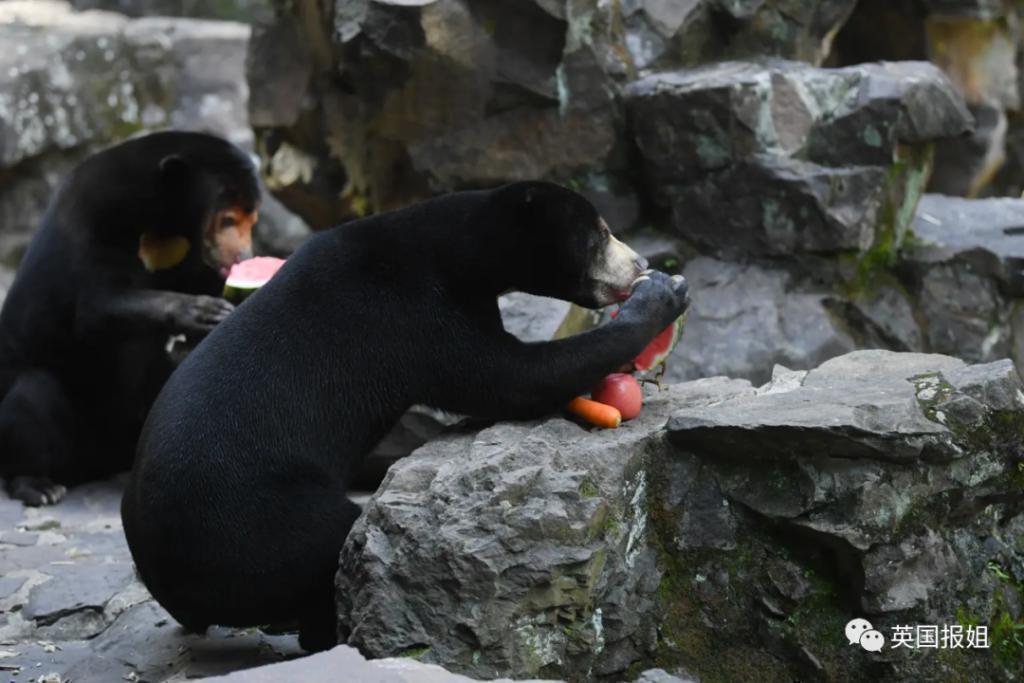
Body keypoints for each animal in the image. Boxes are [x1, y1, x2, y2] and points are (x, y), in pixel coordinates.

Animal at [0, 131, 260, 506]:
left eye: (252, 221)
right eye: (227, 219)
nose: (244, 256)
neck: (162, 221)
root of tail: (103, 460)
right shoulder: (95, 222)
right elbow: (97, 308)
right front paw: (204, 312)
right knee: (30, 398)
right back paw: (39, 485)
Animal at [121, 181, 690, 651]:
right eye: (601, 234)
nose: (640, 261)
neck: (455, 252)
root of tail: (161, 575)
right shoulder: (410, 315)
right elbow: (508, 377)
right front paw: (664, 294)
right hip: (255, 519)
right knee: (327, 544)